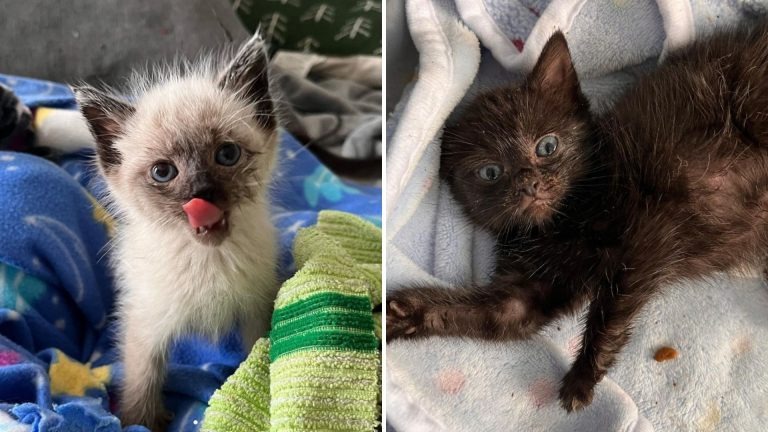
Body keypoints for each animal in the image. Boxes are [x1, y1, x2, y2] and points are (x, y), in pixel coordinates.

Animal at [73, 34, 280, 432]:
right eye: (163, 172)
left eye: (227, 154)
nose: (202, 193)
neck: (207, 258)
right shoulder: (145, 322)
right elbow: (143, 378)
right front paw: (138, 422)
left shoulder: (257, 308)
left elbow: (257, 355)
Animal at [390, 23, 768, 412]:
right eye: (490, 172)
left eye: (547, 146)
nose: (528, 183)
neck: (562, 223)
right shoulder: (528, 293)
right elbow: (494, 315)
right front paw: (405, 313)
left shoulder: (646, 236)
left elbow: (611, 308)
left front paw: (584, 374)